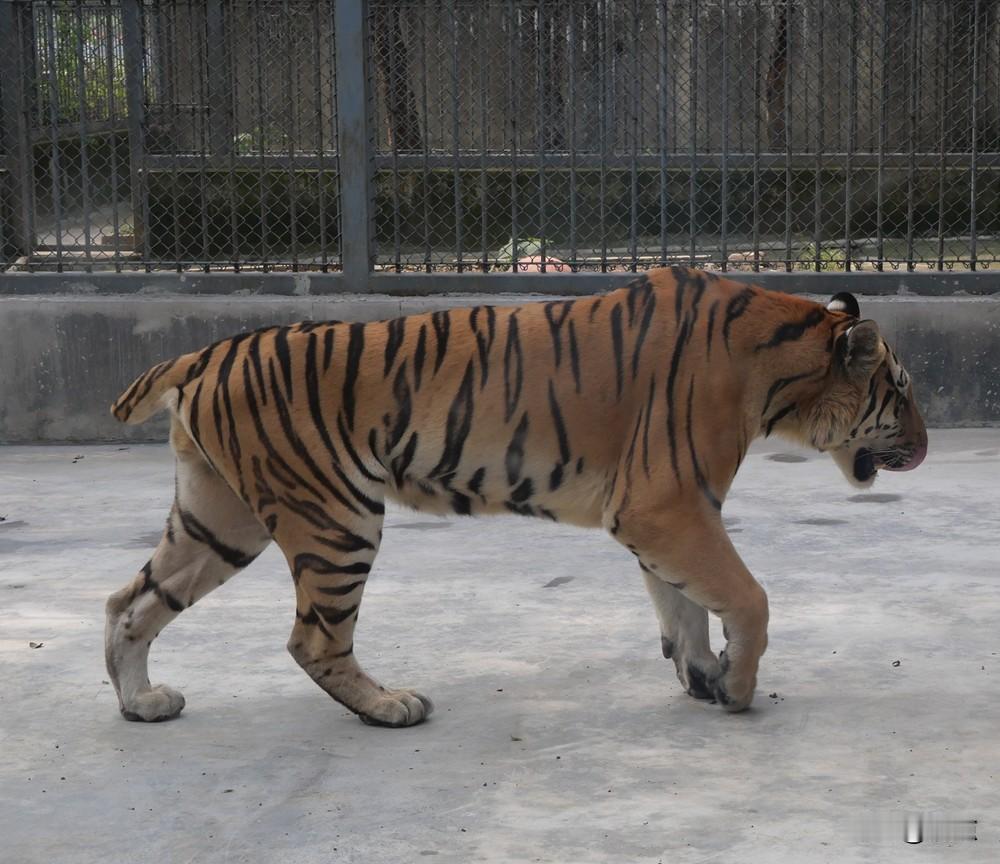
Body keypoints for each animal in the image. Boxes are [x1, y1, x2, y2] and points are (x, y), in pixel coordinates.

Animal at [103, 266, 928, 724]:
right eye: (903, 392)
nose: (924, 448)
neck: (783, 364)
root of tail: (203, 354)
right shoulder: (665, 503)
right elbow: (747, 599)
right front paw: (740, 688)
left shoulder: (667, 511)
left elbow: (683, 604)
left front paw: (702, 675)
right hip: (335, 518)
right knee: (312, 638)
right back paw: (390, 707)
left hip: (221, 519)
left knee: (128, 603)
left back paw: (142, 703)